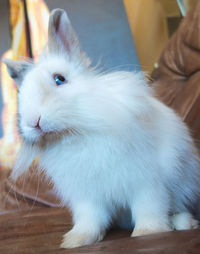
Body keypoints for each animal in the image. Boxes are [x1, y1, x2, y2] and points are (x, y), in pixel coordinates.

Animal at [3, 8, 199, 250]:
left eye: (59, 79)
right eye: (21, 94)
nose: (33, 121)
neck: (77, 132)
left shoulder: (147, 182)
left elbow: (149, 208)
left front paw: (148, 232)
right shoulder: (87, 195)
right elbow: (90, 219)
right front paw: (76, 241)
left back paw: (184, 222)